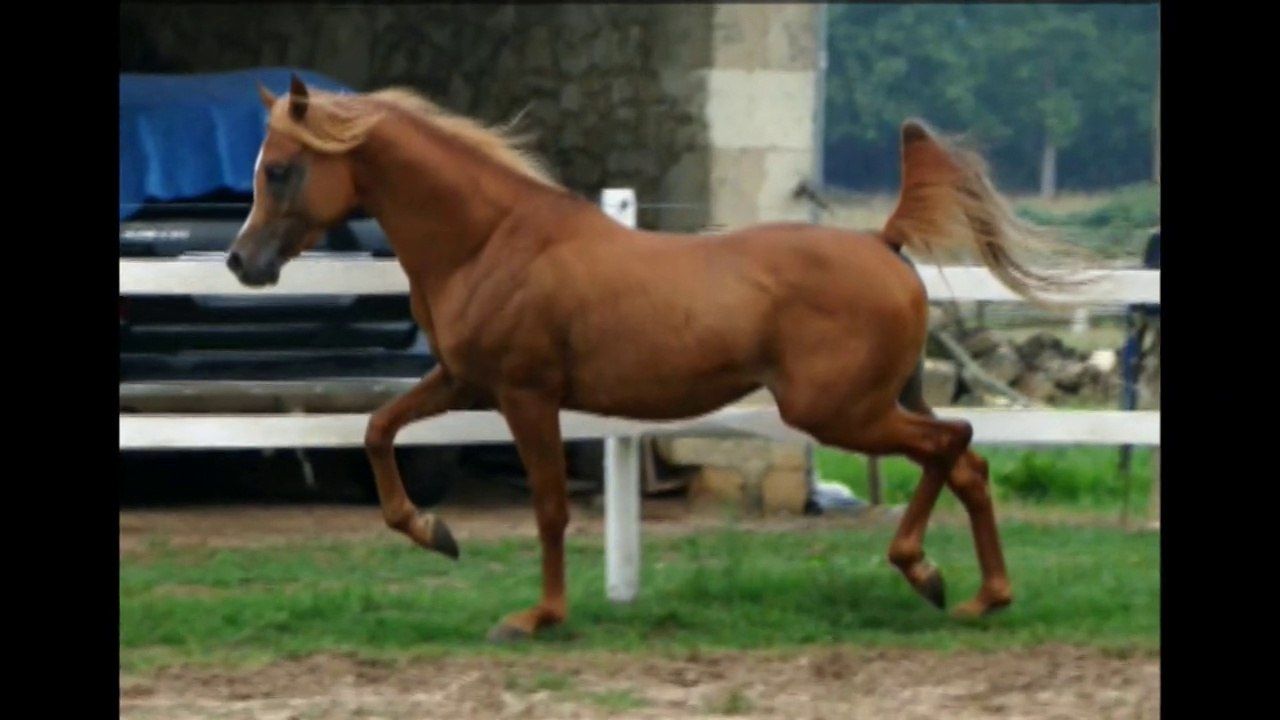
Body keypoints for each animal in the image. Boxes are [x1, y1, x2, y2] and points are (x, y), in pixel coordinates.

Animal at [228, 74, 1089, 643]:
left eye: (280, 169)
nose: (242, 262)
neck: (490, 240)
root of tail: (883, 242)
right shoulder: (464, 381)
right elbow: (377, 429)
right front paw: (434, 532)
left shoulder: (525, 395)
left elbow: (549, 505)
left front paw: (537, 616)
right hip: (878, 403)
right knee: (968, 463)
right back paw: (980, 595)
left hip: (840, 411)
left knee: (952, 446)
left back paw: (924, 571)